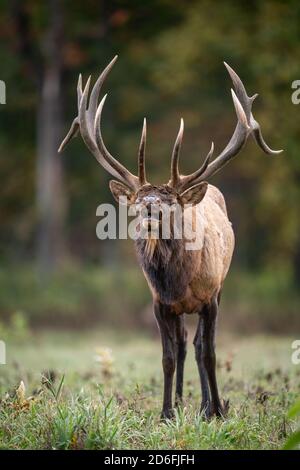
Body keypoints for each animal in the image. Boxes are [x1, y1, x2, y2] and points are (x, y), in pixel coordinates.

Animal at [58, 57, 282, 420]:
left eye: (170, 203)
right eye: (137, 201)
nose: (150, 208)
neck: (179, 281)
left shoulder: (211, 297)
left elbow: (210, 353)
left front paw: (218, 411)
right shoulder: (159, 303)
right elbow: (166, 358)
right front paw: (165, 413)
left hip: (220, 286)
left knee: (199, 344)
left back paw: (207, 405)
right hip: (178, 311)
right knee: (182, 344)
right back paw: (181, 401)